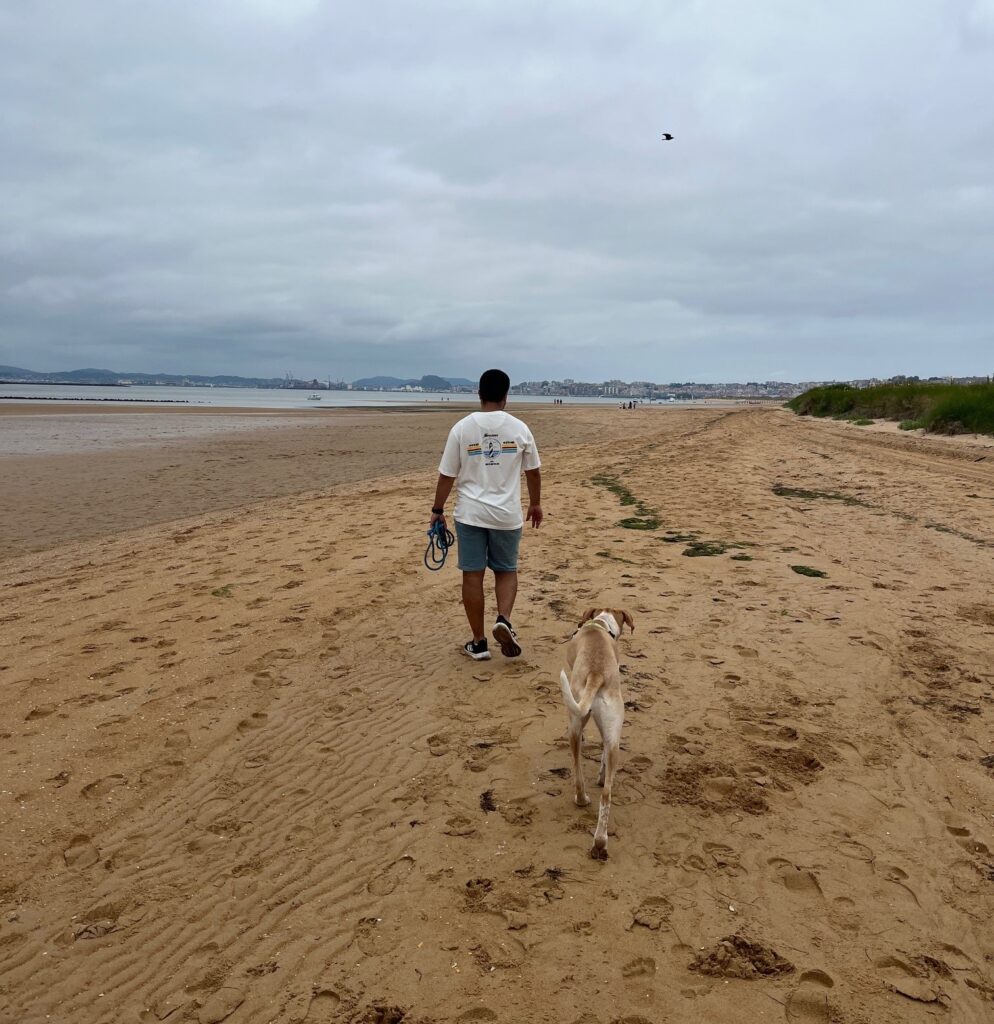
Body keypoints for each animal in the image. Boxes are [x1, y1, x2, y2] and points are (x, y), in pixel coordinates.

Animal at [565, 606, 634, 856]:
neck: (599, 625)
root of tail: (596, 674)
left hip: (576, 723)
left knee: (579, 771)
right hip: (611, 734)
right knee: (605, 792)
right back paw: (600, 840)